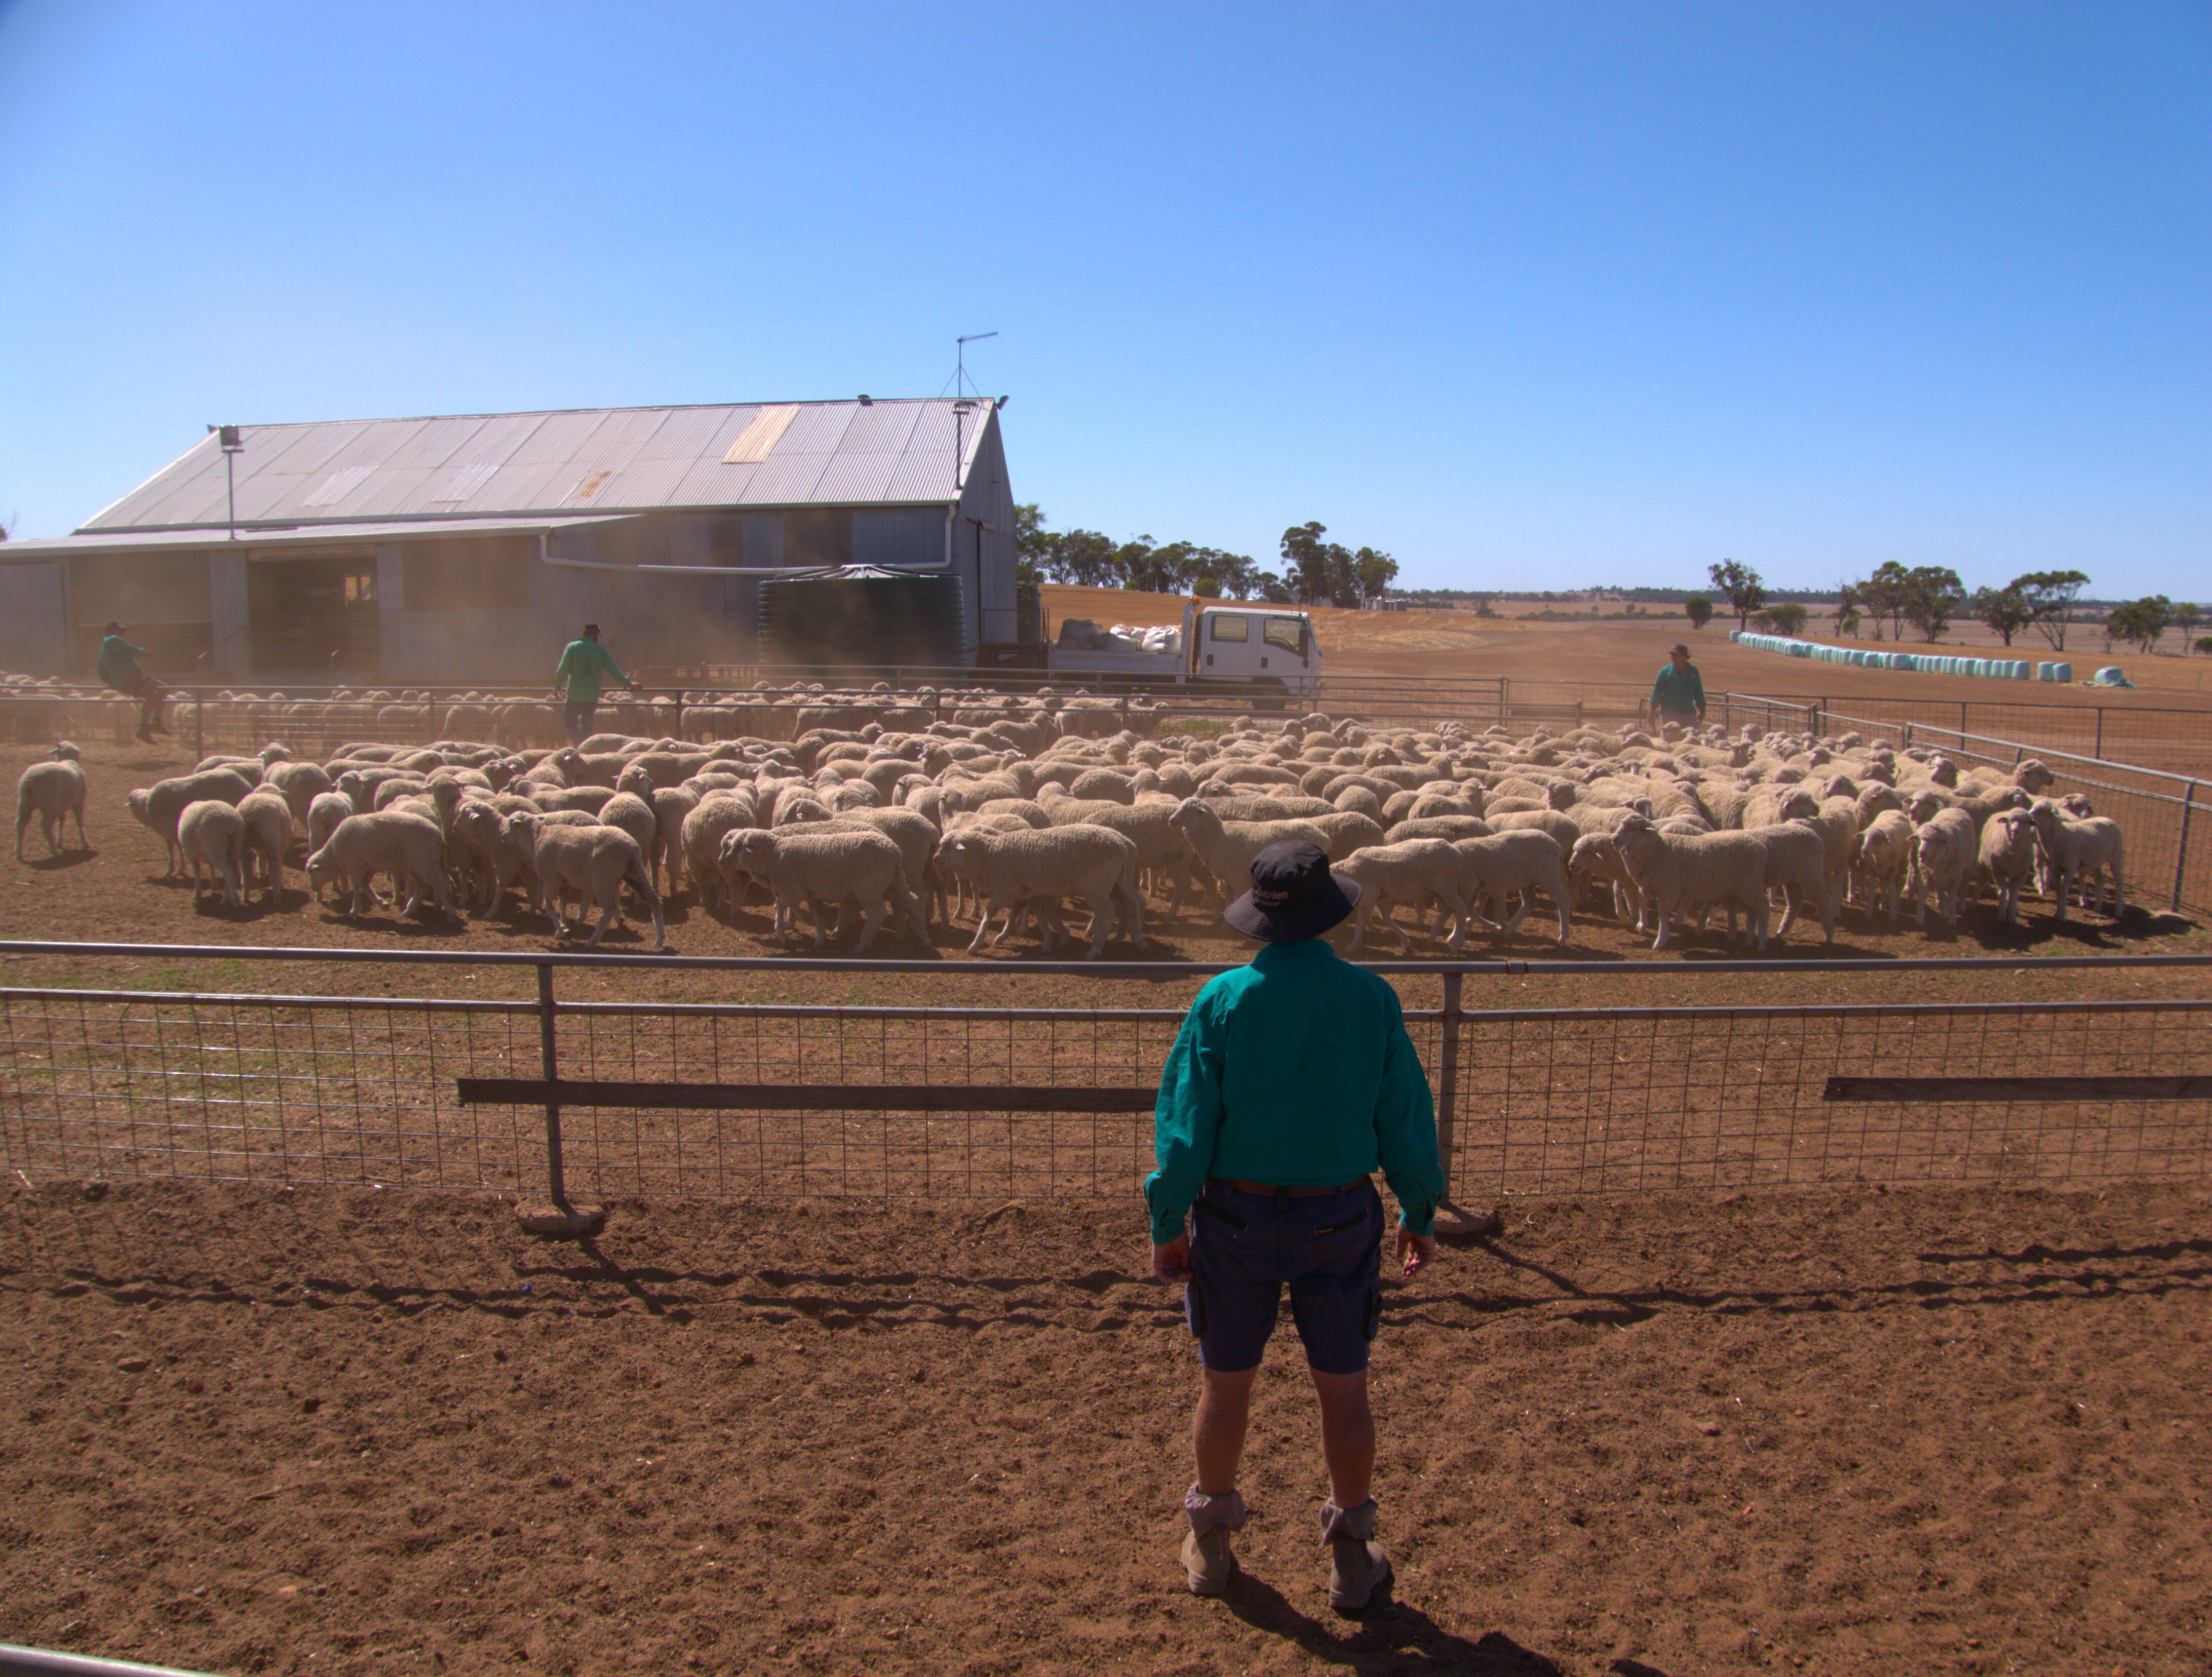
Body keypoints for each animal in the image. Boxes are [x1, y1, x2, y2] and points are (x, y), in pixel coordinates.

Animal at [16, 749, 87, 859]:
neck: (69, 760)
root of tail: (29, 780)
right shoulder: (79, 801)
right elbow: (79, 821)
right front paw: (85, 843)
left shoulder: (61, 807)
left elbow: (62, 822)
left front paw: (60, 842)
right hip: (49, 805)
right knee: (46, 826)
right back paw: (54, 851)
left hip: (25, 802)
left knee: (20, 824)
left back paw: (19, 853)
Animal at [177, 799, 247, 908]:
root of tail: (230, 820)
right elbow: (210, 866)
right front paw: (213, 884)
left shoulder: (192, 856)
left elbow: (197, 874)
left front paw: (197, 895)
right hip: (235, 844)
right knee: (235, 870)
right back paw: (227, 896)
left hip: (215, 846)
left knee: (228, 871)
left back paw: (232, 900)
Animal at [719, 826, 914, 953]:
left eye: (739, 847)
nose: (726, 859)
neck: (775, 855)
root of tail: (895, 851)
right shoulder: (811, 893)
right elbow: (816, 915)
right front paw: (819, 937)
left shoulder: (793, 890)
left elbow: (781, 905)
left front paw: (782, 934)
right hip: (894, 884)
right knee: (911, 902)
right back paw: (912, 934)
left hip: (869, 889)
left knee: (878, 914)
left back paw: (863, 943)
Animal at [2027, 800, 2125, 924]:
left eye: (2042, 810)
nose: (2030, 818)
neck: (2058, 835)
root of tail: (2109, 819)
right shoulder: (2056, 870)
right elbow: (2059, 891)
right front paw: (2057, 913)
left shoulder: (2070, 869)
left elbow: (2064, 891)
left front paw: (2062, 916)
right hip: (2095, 861)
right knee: (2100, 879)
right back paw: (2098, 907)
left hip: (2116, 857)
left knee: (2120, 881)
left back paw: (2119, 911)